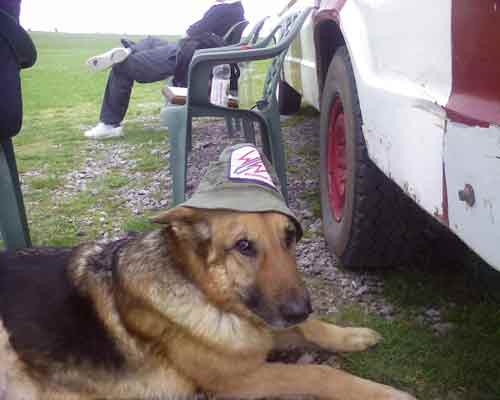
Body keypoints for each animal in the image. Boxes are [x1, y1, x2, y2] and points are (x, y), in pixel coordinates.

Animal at [0, 208, 414, 398]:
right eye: (244, 246)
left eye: (289, 238)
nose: (300, 308)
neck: (206, 293)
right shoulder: (237, 379)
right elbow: (320, 373)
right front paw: (385, 393)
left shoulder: (257, 329)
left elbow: (312, 329)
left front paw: (352, 336)